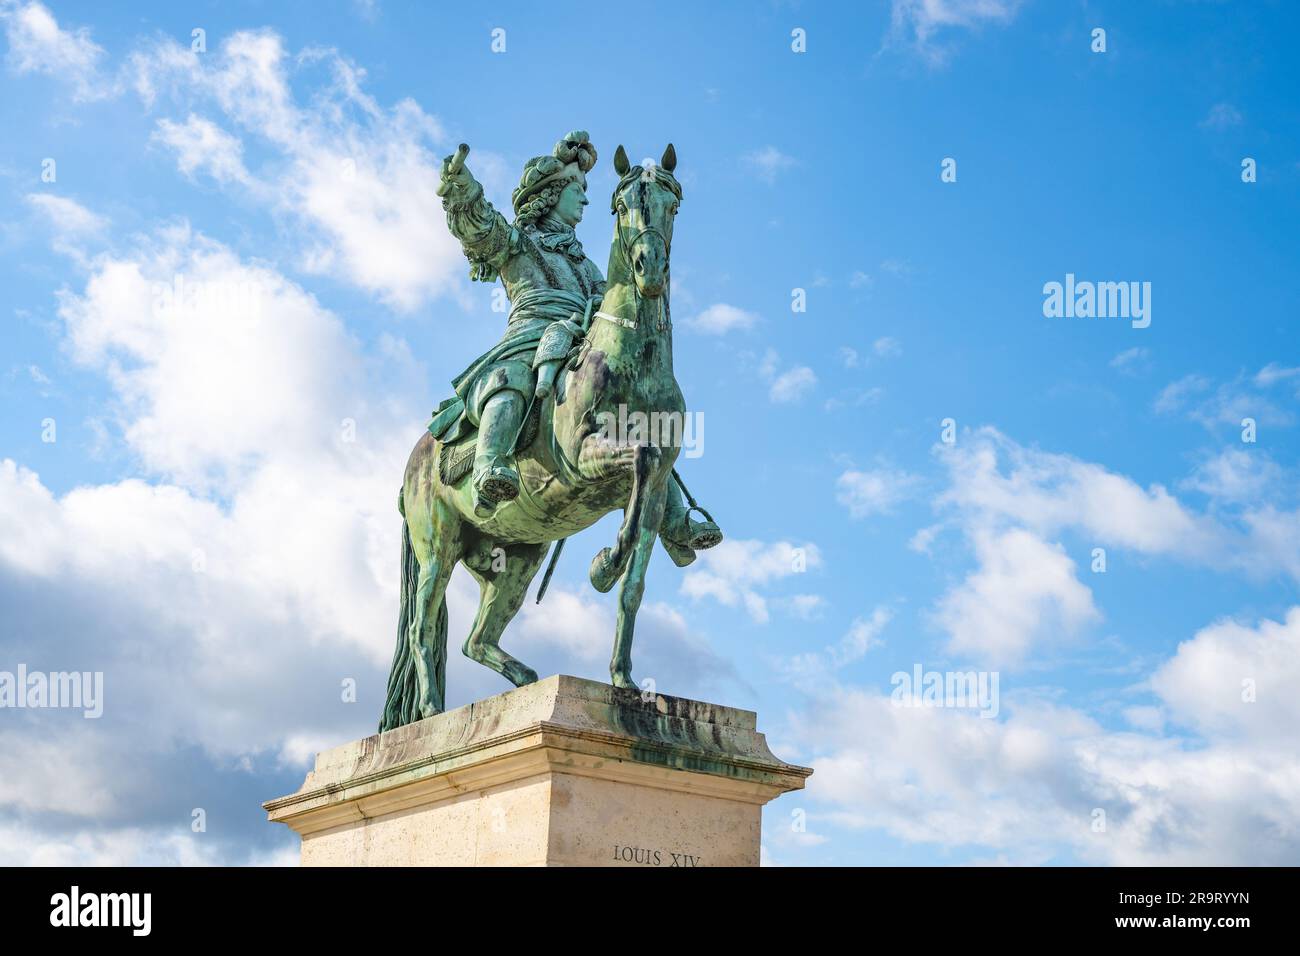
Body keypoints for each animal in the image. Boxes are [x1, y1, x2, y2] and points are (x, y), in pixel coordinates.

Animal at [379, 141, 691, 733]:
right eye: (620, 204)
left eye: (673, 204)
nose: (651, 268)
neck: (629, 360)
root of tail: (412, 461)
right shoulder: (585, 462)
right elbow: (637, 460)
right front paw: (604, 563)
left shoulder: (660, 489)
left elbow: (634, 585)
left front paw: (623, 679)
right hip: (437, 549)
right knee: (421, 629)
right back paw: (430, 713)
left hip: (516, 561)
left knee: (476, 640)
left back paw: (525, 684)